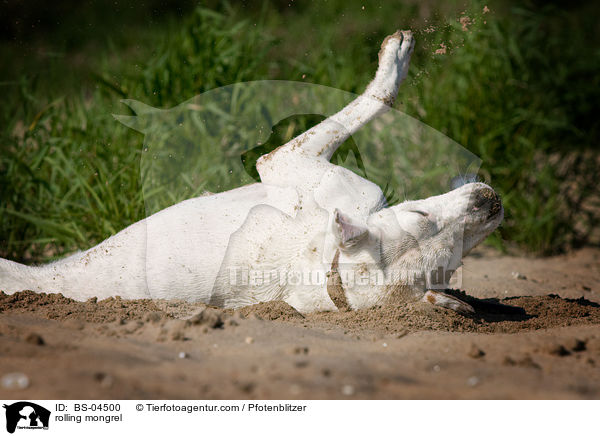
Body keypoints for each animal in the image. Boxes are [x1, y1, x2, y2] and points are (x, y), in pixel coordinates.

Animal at [0, 32, 502, 316]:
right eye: (419, 215)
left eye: (447, 265)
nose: (489, 202)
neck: (329, 271)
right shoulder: (286, 162)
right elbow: (376, 98)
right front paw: (395, 59)